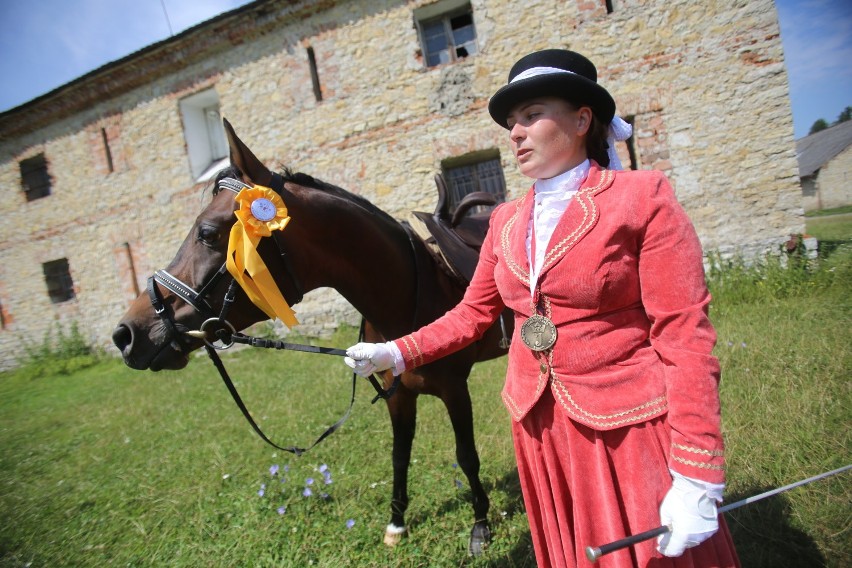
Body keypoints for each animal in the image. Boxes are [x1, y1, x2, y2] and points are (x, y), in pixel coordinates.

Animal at [113, 121, 512, 556]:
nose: (127, 334)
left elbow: (466, 456)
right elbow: (400, 455)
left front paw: (480, 527)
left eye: (207, 233)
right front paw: (397, 524)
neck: (409, 295)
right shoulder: (399, 394)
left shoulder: (456, 389)